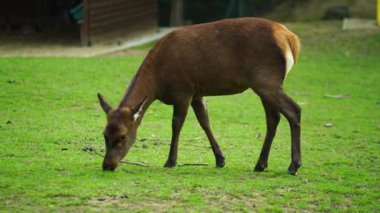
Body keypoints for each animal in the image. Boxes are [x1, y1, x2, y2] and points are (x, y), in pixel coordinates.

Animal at [98, 17, 302, 175]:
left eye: (123, 136)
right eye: (104, 134)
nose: (107, 165)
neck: (159, 82)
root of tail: (291, 39)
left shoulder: (183, 90)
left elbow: (177, 124)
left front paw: (170, 161)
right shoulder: (197, 92)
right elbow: (205, 122)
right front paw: (220, 159)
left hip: (266, 79)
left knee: (294, 109)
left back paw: (293, 166)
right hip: (264, 84)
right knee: (273, 118)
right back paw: (261, 164)